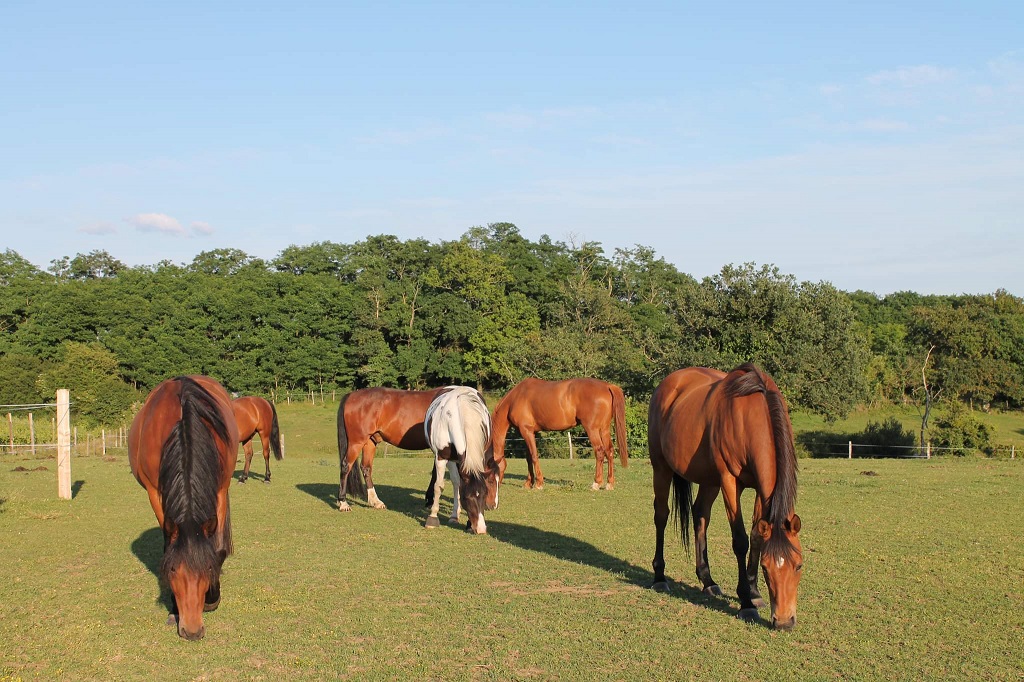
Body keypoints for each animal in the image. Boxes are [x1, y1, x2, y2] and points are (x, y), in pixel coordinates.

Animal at [126, 372, 238, 638]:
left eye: (207, 569)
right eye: (173, 571)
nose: (192, 630)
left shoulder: (219, 489)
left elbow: (217, 547)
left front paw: (213, 596)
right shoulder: (155, 493)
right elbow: (169, 545)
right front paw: (173, 609)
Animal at [421, 385, 501, 532]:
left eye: (485, 494)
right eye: (467, 497)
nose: (481, 529)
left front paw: (469, 524)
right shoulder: (441, 457)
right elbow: (439, 486)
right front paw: (432, 518)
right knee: (455, 482)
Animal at [491, 376, 626, 489]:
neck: (515, 398)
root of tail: (607, 386)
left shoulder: (526, 430)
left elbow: (534, 456)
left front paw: (539, 483)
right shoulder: (528, 432)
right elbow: (528, 457)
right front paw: (529, 483)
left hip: (592, 429)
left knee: (599, 451)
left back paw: (596, 483)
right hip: (604, 429)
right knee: (609, 451)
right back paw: (609, 483)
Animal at [647, 364, 806, 630]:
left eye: (799, 565)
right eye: (766, 568)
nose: (784, 621)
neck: (750, 412)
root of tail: (668, 384)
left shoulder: (759, 489)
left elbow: (756, 536)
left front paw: (754, 592)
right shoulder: (730, 482)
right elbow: (740, 540)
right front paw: (746, 604)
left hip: (709, 479)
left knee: (700, 514)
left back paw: (708, 581)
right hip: (662, 469)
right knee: (661, 515)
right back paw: (659, 577)